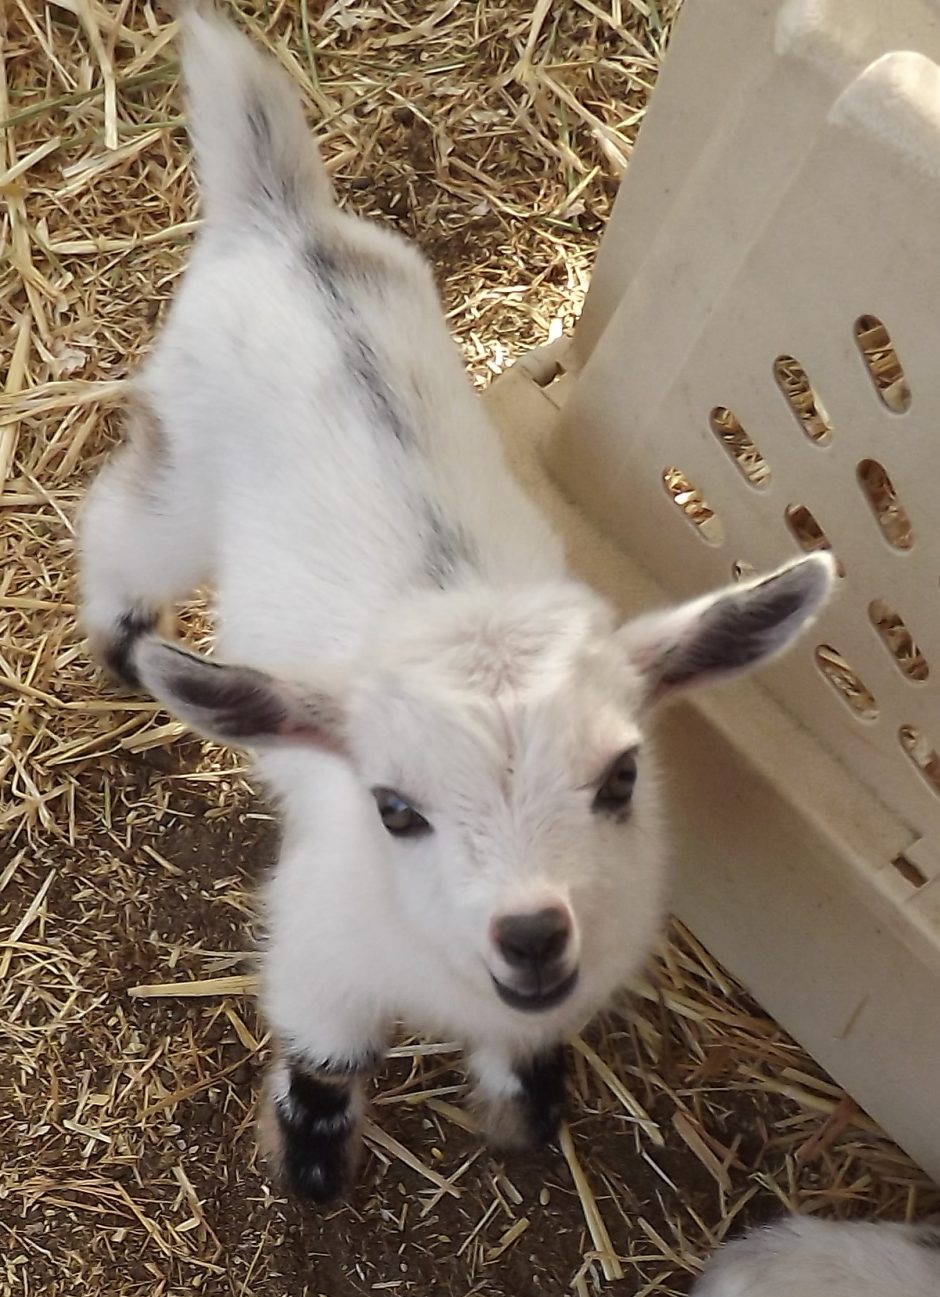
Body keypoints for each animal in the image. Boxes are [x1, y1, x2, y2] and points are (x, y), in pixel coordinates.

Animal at [77, 5, 835, 1203]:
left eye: (623, 777)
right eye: (394, 808)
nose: (531, 934)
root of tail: (285, 225)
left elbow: (526, 1044)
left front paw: (526, 1108)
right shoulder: (322, 948)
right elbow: (327, 1051)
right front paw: (311, 1163)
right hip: (185, 476)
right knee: (118, 530)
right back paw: (118, 645)